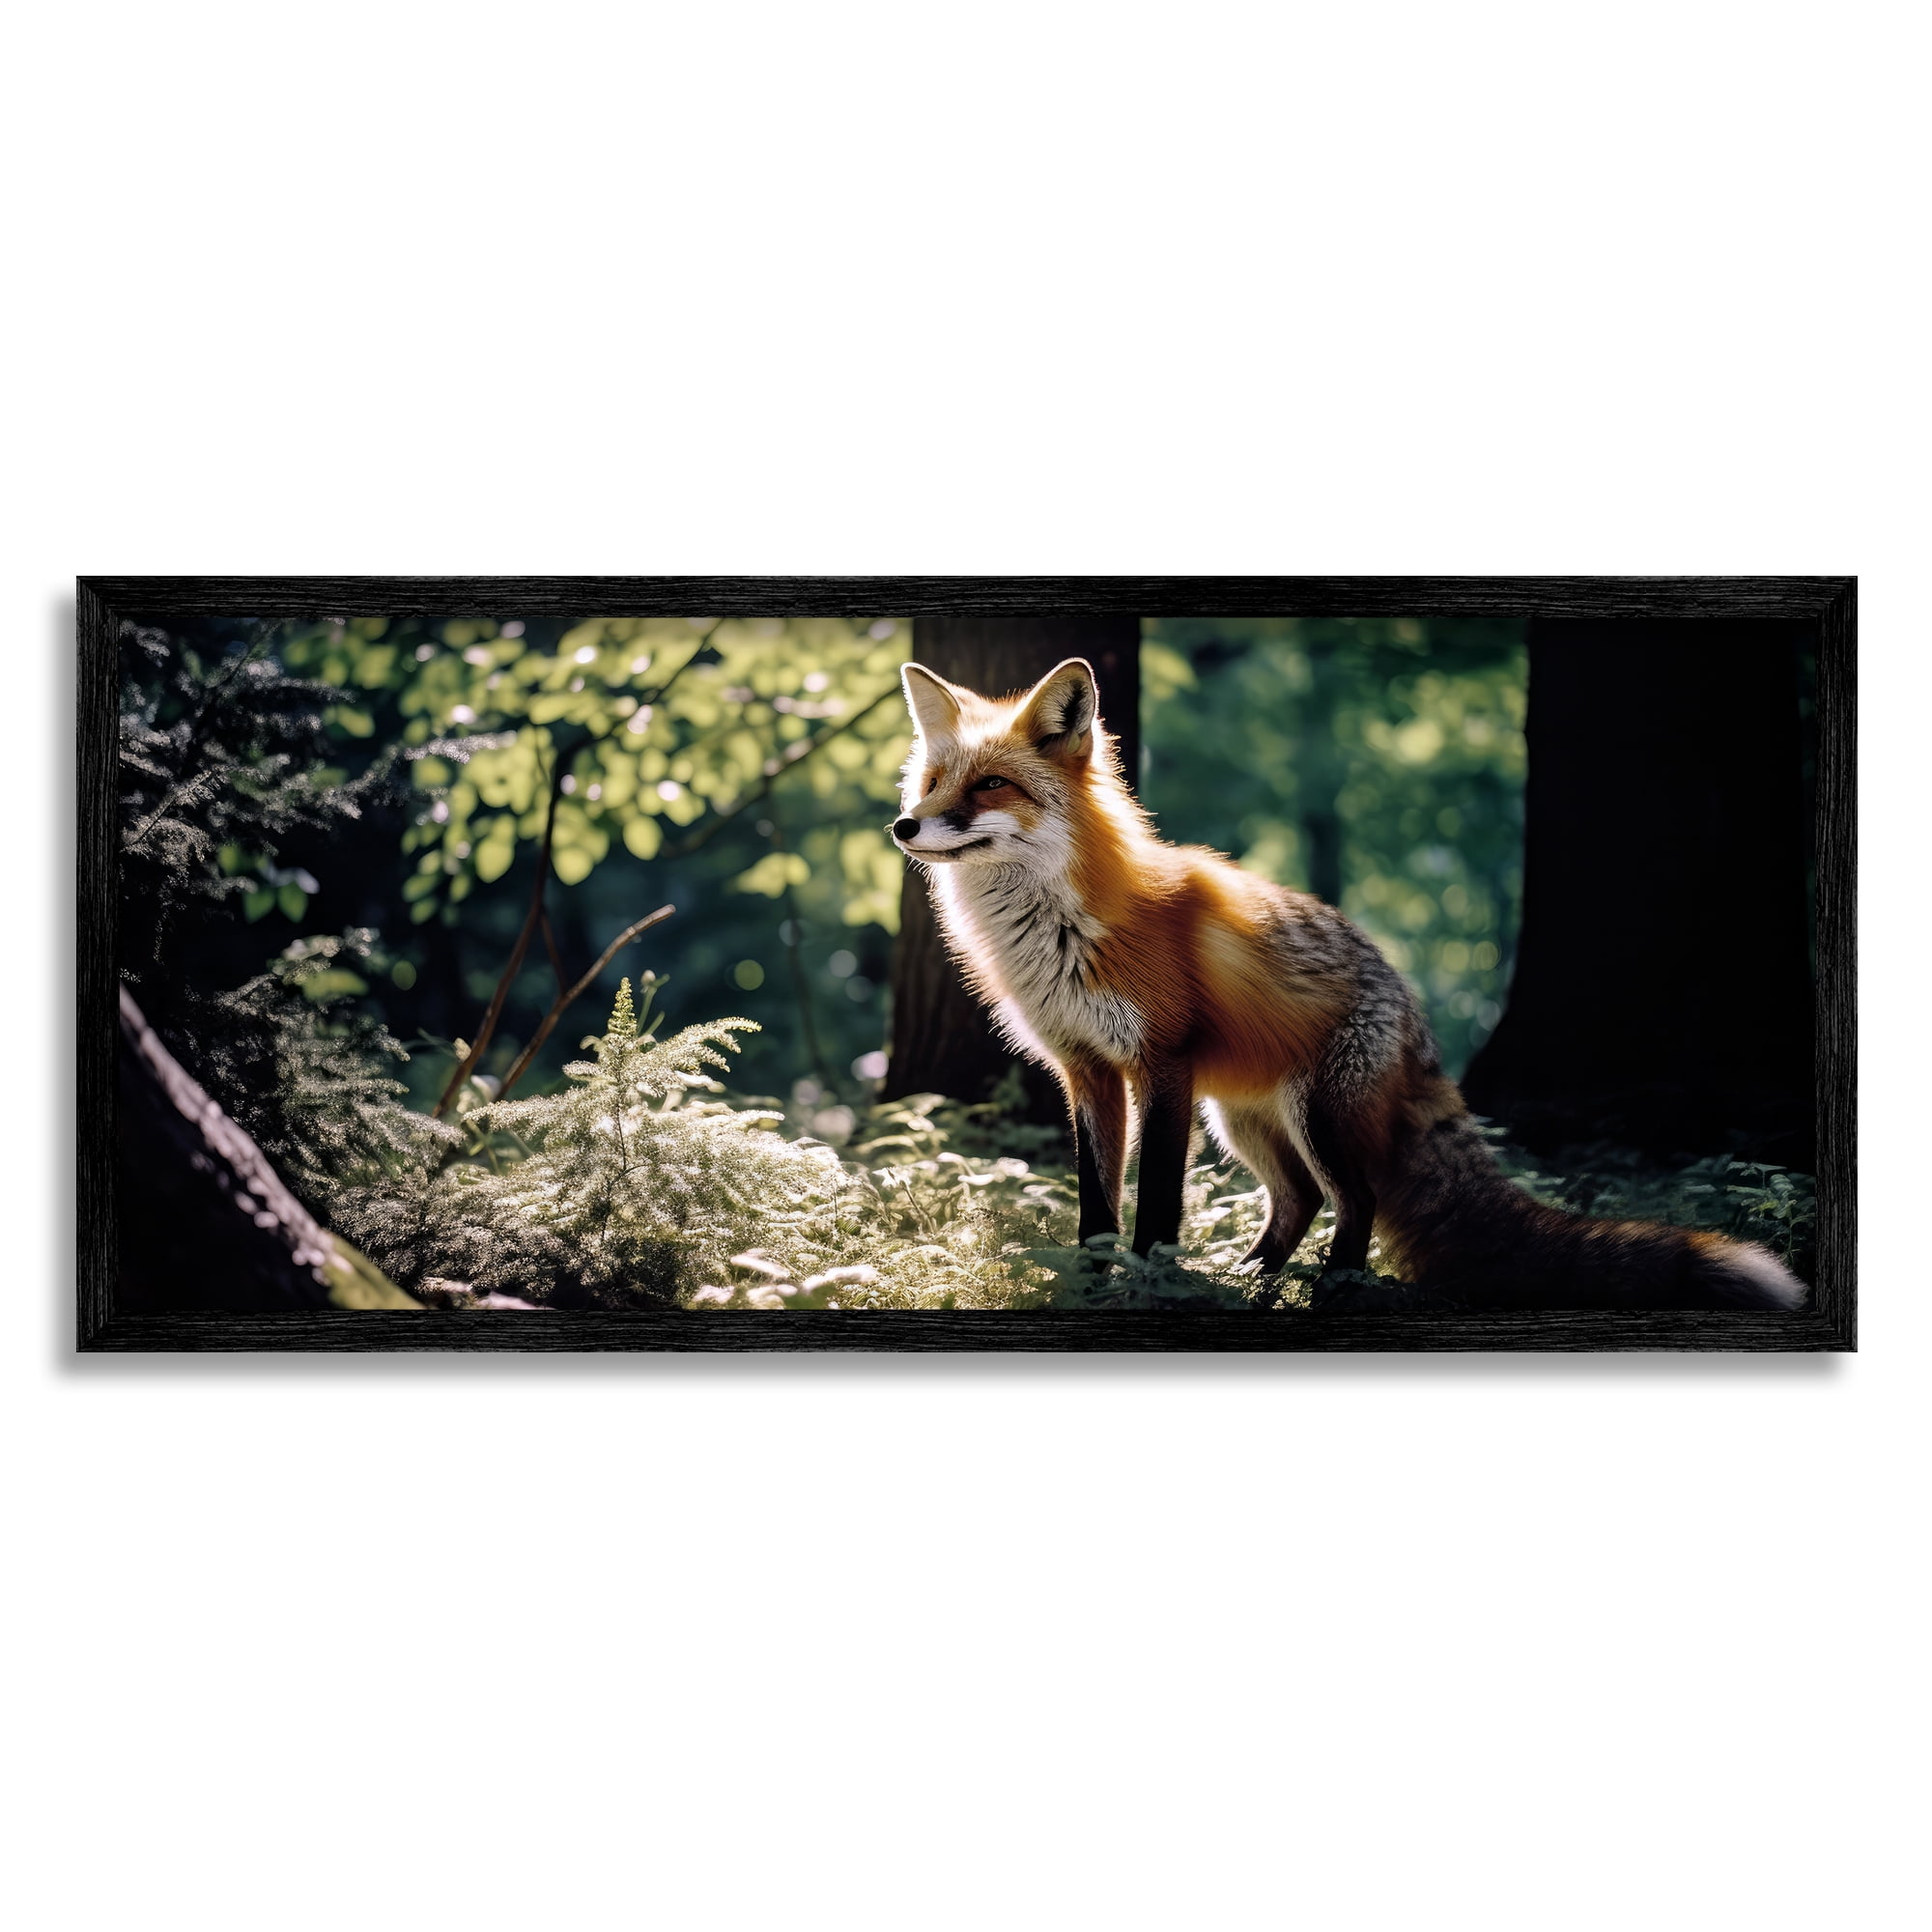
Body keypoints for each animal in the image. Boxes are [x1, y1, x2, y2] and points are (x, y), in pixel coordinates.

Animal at [889, 656, 1807, 1312]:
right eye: (931, 785)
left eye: (991, 785)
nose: (903, 825)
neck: (1062, 930)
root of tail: (1408, 1001)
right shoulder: (1087, 1072)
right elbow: (1095, 1213)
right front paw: (1090, 1291)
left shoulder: (1163, 1064)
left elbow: (1154, 1211)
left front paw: (1152, 1289)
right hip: (1245, 1119)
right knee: (1297, 1203)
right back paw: (1253, 1283)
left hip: (1314, 1115)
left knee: (1354, 1202)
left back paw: (1328, 1293)